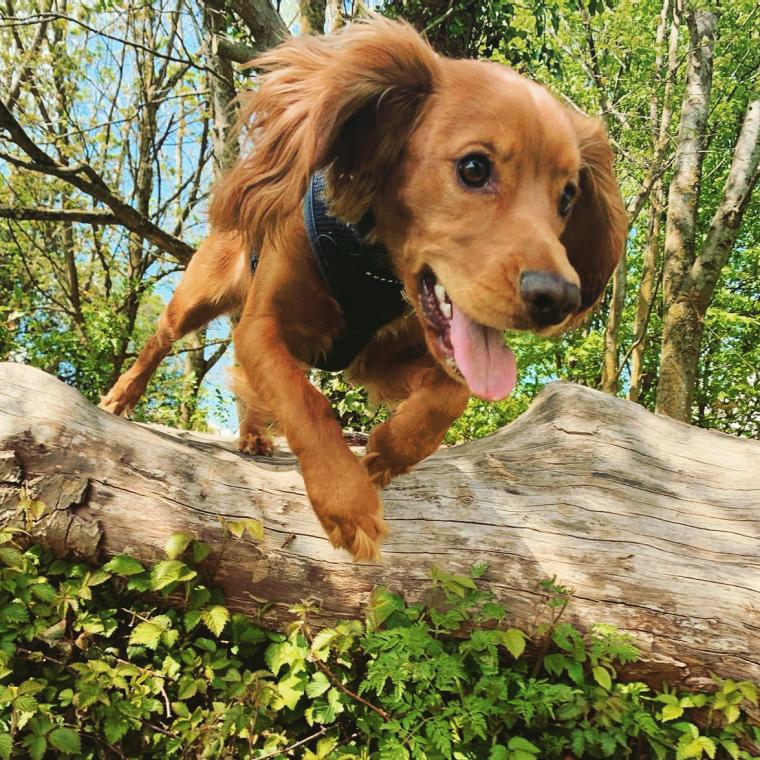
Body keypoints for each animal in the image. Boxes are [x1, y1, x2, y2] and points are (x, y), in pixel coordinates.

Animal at [98, 17, 628, 560]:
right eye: (474, 168)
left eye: (567, 197)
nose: (558, 298)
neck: (373, 260)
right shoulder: (263, 328)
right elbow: (304, 400)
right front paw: (346, 501)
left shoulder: (384, 360)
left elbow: (449, 397)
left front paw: (384, 453)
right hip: (196, 298)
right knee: (160, 342)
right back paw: (120, 397)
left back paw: (253, 436)